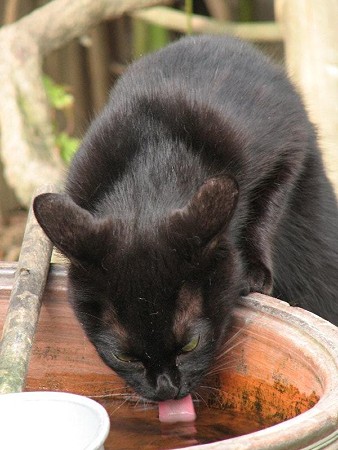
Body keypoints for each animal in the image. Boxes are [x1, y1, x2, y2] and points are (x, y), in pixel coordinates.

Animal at [33, 35, 338, 400]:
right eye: (123, 356)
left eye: (191, 344)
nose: (165, 389)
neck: (153, 164)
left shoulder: (289, 142)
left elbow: (269, 204)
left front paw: (252, 270)